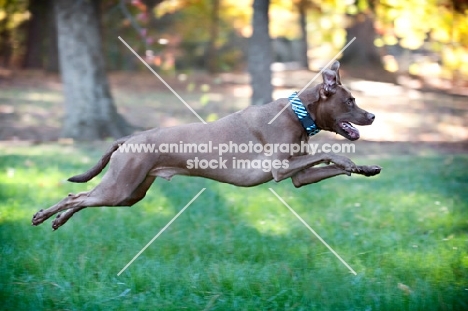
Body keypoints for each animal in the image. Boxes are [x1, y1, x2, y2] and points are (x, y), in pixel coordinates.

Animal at [32, 61, 380, 232]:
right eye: (351, 100)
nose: (373, 116)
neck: (298, 113)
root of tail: (128, 138)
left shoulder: (297, 177)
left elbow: (326, 165)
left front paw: (364, 168)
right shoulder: (280, 170)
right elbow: (328, 154)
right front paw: (348, 163)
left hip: (130, 194)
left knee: (83, 198)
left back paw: (58, 220)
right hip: (120, 187)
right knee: (76, 195)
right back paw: (43, 215)